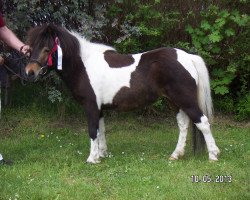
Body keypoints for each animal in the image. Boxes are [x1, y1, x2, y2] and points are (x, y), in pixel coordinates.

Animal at [23, 24, 219, 163]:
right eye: (31, 47)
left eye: (47, 49)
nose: (29, 72)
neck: (83, 65)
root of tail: (188, 57)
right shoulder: (100, 108)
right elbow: (101, 130)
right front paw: (102, 154)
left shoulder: (91, 106)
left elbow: (92, 130)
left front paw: (92, 159)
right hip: (175, 102)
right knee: (184, 125)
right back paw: (176, 155)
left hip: (185, 100)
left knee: (202, 123)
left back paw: (213, 155)